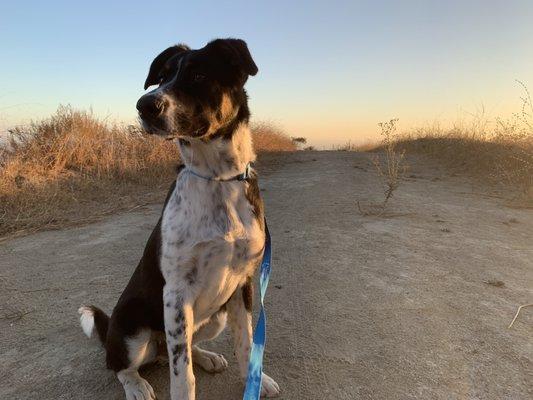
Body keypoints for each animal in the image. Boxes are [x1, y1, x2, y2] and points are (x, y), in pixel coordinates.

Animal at [78, 38, 280, 400]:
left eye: (198, 75)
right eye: (162, 77)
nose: (144, 105)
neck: (217, 178)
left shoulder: (242, 284)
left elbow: (246, 343)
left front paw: (256, 379)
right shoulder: (175, 293)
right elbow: (182, 374)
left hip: (215, 317)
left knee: (184, 347)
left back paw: (207, 356)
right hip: (133, 331)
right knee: (120, 365)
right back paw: (137, 385)